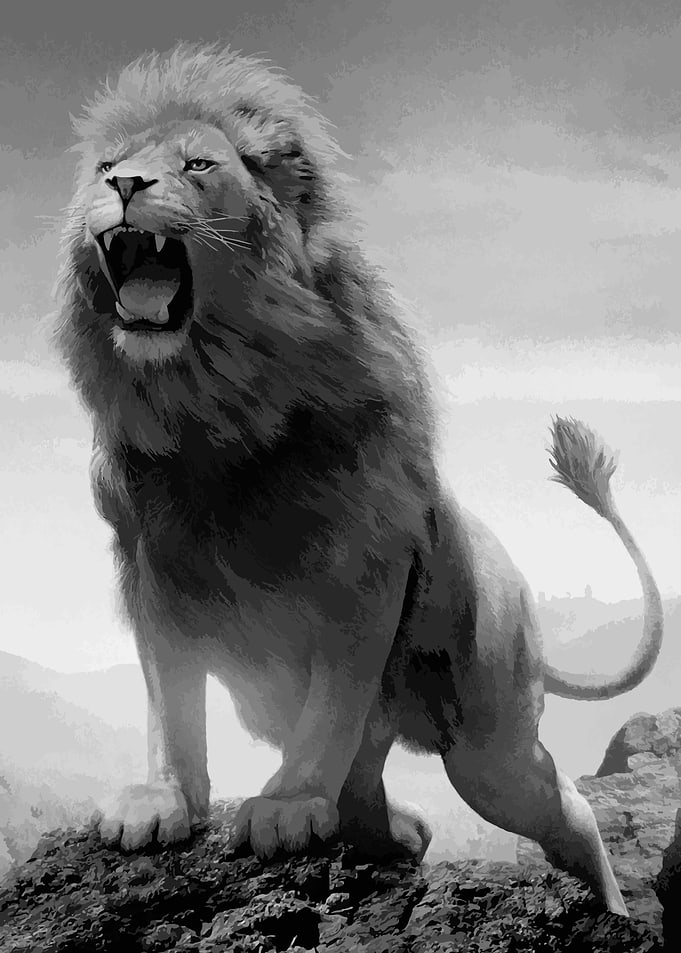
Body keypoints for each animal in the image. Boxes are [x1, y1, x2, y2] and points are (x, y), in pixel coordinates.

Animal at [55, 44, 663, 917]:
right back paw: (392, 831)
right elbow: (171, 702)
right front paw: (161, 801)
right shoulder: (151, 568)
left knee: (561, 807)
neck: (212, 408)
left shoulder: (364, 570)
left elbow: (332, 706)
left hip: (490, 745)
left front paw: (283, 806)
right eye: (107, 167)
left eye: (198, 165)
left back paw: (611, 908)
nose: (126, 186)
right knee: (376, 789)